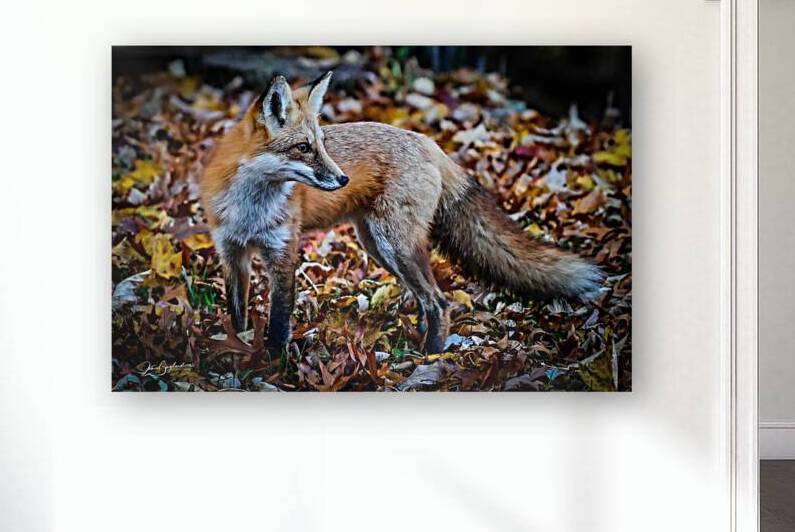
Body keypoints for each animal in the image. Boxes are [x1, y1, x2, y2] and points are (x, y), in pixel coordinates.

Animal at [200, 71, 603, 357]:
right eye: (303, 148)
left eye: (323, 145)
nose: (343, 178)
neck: (250, 210)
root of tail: (427, 141)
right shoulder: (232, 253)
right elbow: (237, 315)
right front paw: (239, 351)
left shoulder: (283, 252)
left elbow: (279, 321)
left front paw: (273, 364)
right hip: (379, 246)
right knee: (425, 299)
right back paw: (420, 340)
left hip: (395, 245)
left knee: (439, 301)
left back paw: (431, 357)